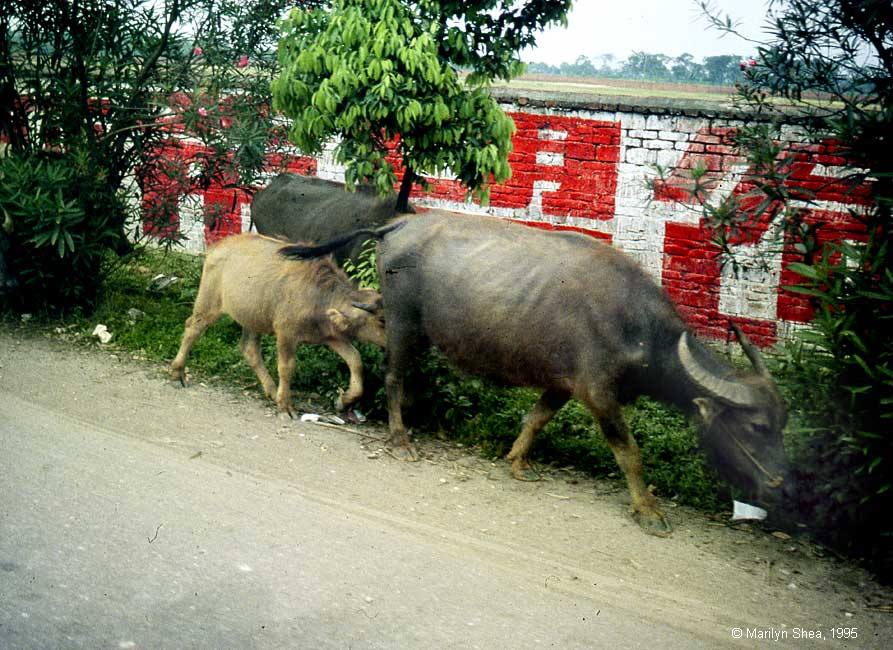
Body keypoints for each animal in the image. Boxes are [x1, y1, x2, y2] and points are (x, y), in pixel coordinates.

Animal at [171, 234, 386, 416]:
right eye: (381, 321)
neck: (321, 295)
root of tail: (218, 246)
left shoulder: (331, 336)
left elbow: (355, 360)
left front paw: (344, 400)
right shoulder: (286, 334)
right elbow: (286, 367)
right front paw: (285, 406)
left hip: (252, 318)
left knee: (249, 349)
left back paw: (272, 391)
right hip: (208, 305)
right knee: (192, 328)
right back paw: (177, 372)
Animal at [278, 210, 788, 536]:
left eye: (781, 426)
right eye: (757, 426)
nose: (780, 485)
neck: (638, 327)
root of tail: (398, 223)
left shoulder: (562, 385)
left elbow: (536, 419)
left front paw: (518, 461)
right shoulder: (598, 393)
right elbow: (630, 453)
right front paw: (648, 510)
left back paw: (352, 402)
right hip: (406, 325)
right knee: (393, 377)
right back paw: (399, 438)